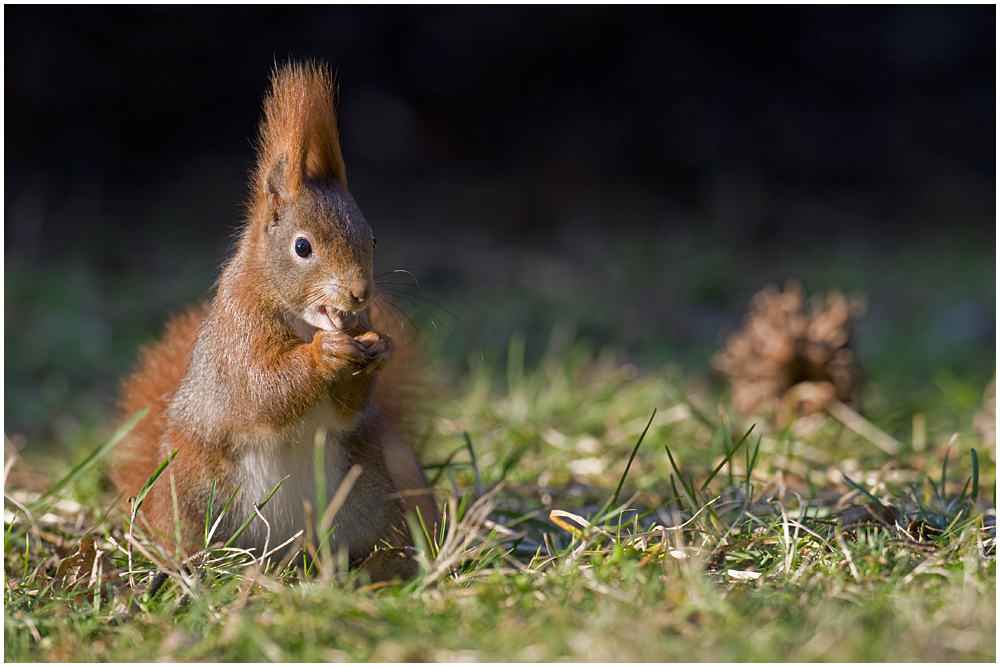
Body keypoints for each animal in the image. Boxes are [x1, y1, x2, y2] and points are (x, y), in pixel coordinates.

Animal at [110, 61, 438, 564]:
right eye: (302, 247)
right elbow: (262, 387)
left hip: (382, 483)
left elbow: (348, 406)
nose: (360, 294)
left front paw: (380, 348)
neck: (303, 321)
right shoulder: (238, 328)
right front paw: (324, 355)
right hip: (190, 486)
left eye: (373, 237)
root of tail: (288, 546)